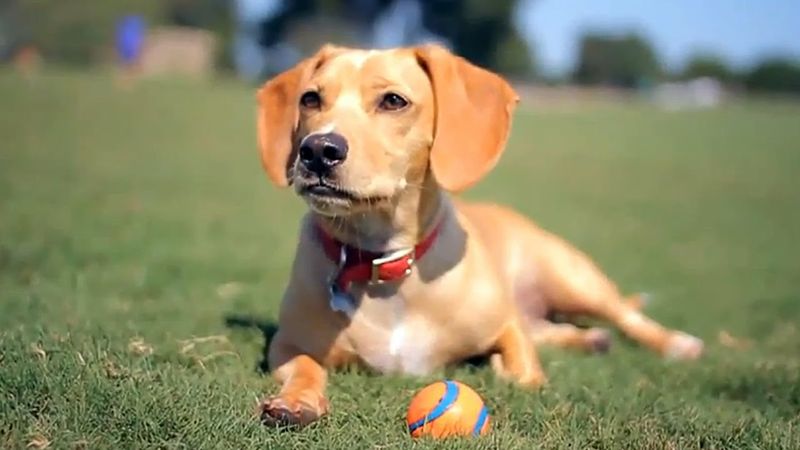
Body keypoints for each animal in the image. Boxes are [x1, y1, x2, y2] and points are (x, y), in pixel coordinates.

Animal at [255, 44, 700, 428]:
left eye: (393, 101)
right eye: (310, 99)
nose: (317, 150)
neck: (386, 263)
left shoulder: (506, 325)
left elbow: (522, 370)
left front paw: (505, 368)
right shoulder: (288, 345)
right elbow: (305, 369)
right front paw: (295, 401)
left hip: (572, 278)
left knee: (625, 316)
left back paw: (675, 344)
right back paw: (590, 340)